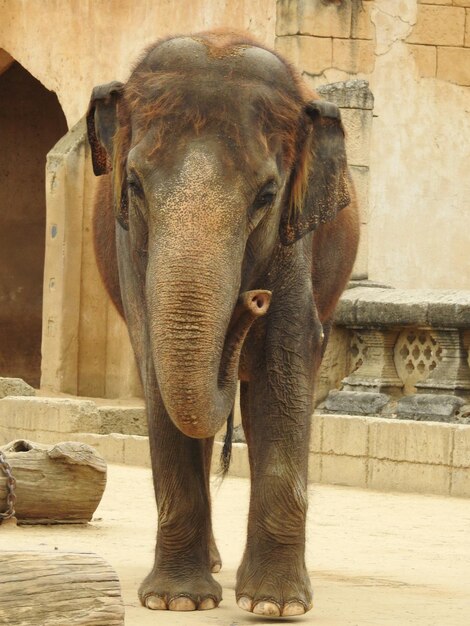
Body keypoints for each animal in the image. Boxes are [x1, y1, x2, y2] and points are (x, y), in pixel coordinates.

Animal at [86, 29, 360, 616]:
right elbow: (156, 367)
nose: (252, 299)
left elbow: (285, 363)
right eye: (134, 184)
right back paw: (210, 569)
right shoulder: (130, 244)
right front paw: (176, 602)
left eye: (266, 195)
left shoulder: (294, 237)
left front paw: (276, 607)